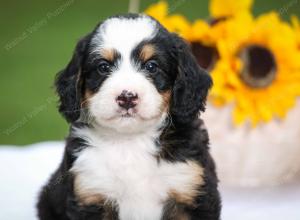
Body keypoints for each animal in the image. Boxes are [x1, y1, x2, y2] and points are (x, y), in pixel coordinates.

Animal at [37, 14, 220, 220]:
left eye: (151, 66)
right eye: (103, 67)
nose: (127, 97)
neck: (130, 142)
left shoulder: (189, 190)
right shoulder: (91, 193)